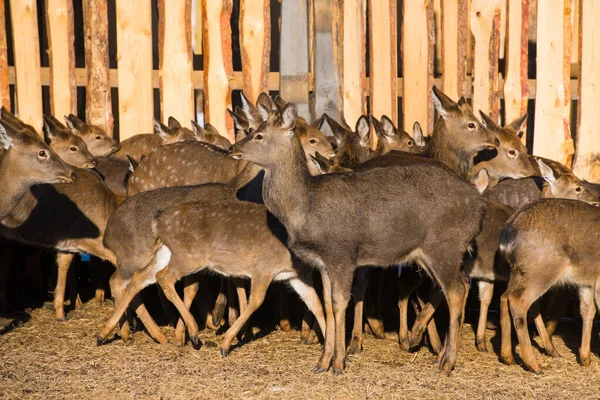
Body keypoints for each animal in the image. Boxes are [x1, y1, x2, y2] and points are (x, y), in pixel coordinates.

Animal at [227, 102, 486, 376]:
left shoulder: (342, 253)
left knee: (456, 291)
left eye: (258, 135)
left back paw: (446, 363)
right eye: (252, 130)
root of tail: (479, 205)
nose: (232, 148)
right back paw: (440, 356)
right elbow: (327, 304)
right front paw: (322, 362)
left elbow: (340, 303)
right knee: (459, 285)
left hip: (444, 245)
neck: (304, 208)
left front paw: (338, 363)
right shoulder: (323, 262)